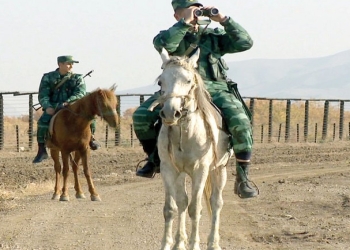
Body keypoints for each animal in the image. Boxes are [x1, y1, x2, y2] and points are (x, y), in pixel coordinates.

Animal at [149, 48, 231, 250]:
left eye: (187, 80)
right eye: (161, 81)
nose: (170, 112)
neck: (186, 133)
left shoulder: (200, 170)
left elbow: (196, 208)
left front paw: (194, 244)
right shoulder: (169, 169)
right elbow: (171, 208)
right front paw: (169, 244)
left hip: (219, 170)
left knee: (216, 203)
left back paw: (213, 243)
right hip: (182, 174)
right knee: (182, 202)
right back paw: (180, 241)